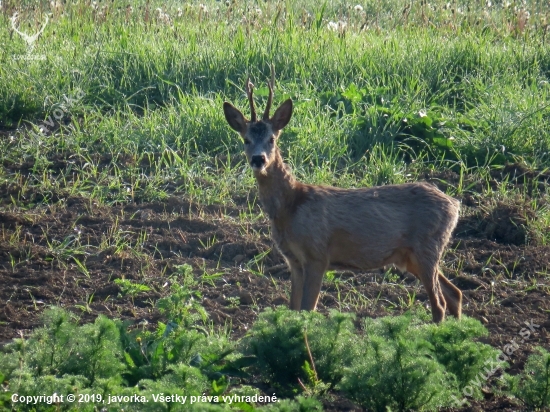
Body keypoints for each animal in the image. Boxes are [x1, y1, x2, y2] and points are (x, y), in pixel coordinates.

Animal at [222, 69, 464, 324]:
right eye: (246, 140)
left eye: (272, 139)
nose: (258, 159)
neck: (291, 206)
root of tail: (454, 204)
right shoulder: (294, 260)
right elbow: (293, 309)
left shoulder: (317, 255)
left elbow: (307, 309)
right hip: (413, 256)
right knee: (454, 292)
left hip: (427, 245)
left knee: (439, 303)